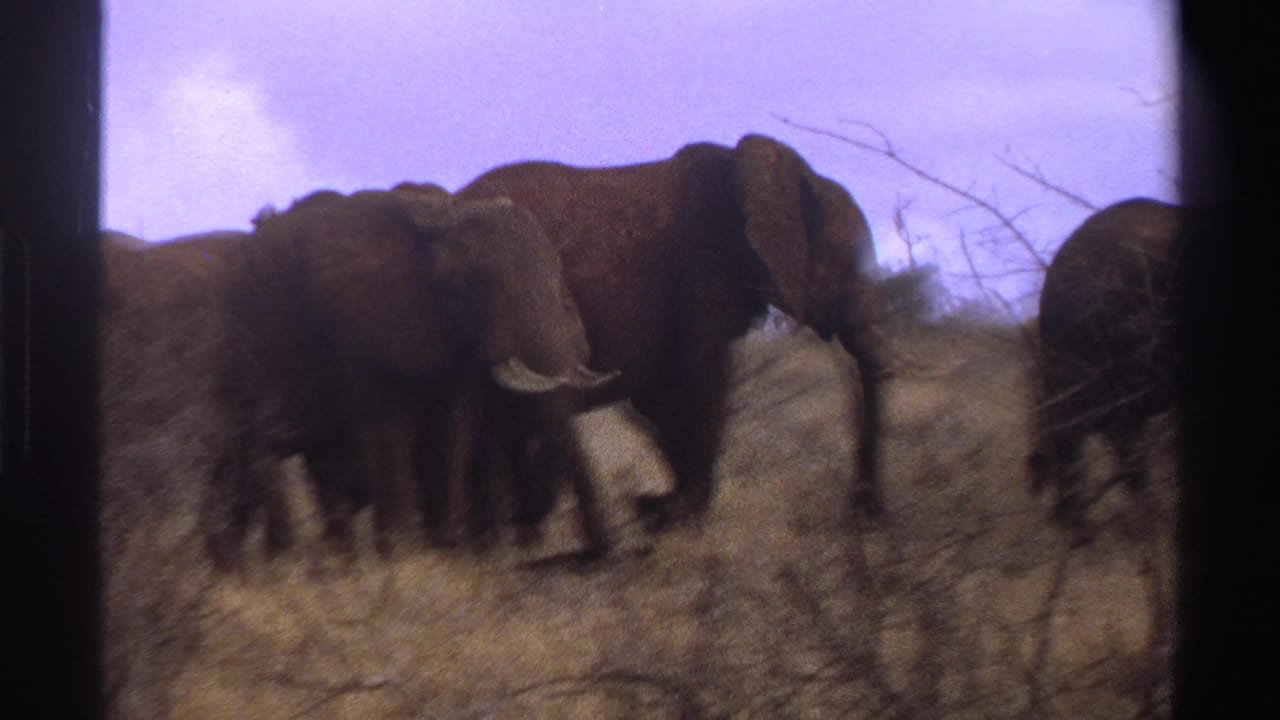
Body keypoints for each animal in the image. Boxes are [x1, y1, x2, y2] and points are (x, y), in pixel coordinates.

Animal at [209, 183, 616, 568]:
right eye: (474, 285)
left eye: (557, 276)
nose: (595, 556)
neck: (439, 219)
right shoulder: (363, 324)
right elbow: (391, 425)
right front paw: (405, 555)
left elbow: (458, 426)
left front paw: (447, 551)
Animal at [456, 133, 887, 530]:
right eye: (849, 268)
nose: (862, 510)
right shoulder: (703, 278)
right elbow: (702, 384)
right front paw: (673, 516)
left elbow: (663, 399)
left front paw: (659, 510)